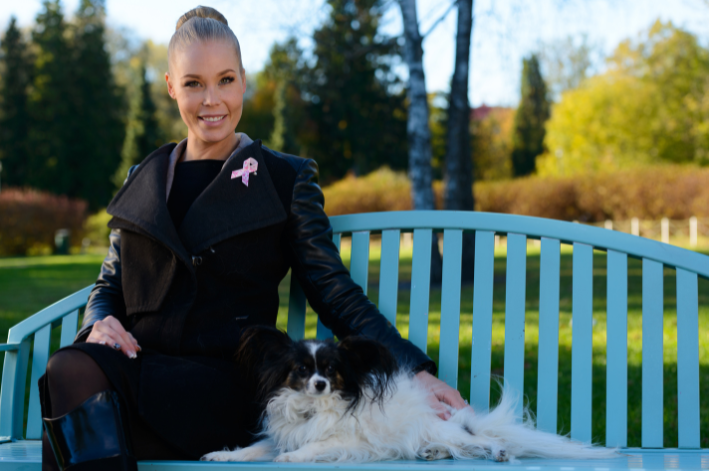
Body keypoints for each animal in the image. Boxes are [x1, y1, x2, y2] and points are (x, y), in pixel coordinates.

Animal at [202, 328, 616, 464]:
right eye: (302, 370)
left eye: (332, 371)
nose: (319, 384)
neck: (312, 411)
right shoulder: (281, 434)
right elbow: (252, 449)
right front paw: (221, 455)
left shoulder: (348, 442)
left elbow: (312, 447)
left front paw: (291, 459)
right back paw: (432, 453)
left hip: (448, 428)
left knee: (482, 441)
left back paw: (497, 451)